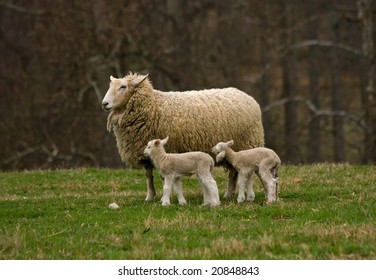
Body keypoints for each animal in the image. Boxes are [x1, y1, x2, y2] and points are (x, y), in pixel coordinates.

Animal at [101, 72, 262, 201]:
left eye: (123, 87)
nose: (104, 103)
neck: (153, 106)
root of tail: (245, 95)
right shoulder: (145, 154)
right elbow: (148, 176)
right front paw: (150, 197)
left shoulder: (167, 151)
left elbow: (164, 177)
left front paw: (167, 196)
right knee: (233, 172)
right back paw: (229, 194)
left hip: (247, 144)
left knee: (239, 173)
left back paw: (234, 194)